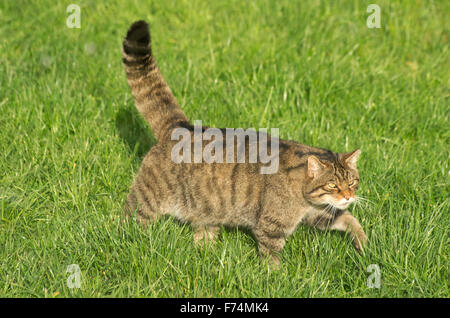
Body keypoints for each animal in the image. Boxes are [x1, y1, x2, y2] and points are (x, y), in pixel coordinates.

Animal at [121, 20, 368, 268]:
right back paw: (127, 239)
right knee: (129, 217)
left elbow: (348, 218)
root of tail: (179, 126)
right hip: (147, 200)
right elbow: (271, 256)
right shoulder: (272, 226)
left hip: (206, 212)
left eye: (352, 182)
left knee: (203, 233)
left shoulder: (319, 214)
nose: (348, 196)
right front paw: (275, 274)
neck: (305, 199)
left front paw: (363, 242)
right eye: (332, 185)